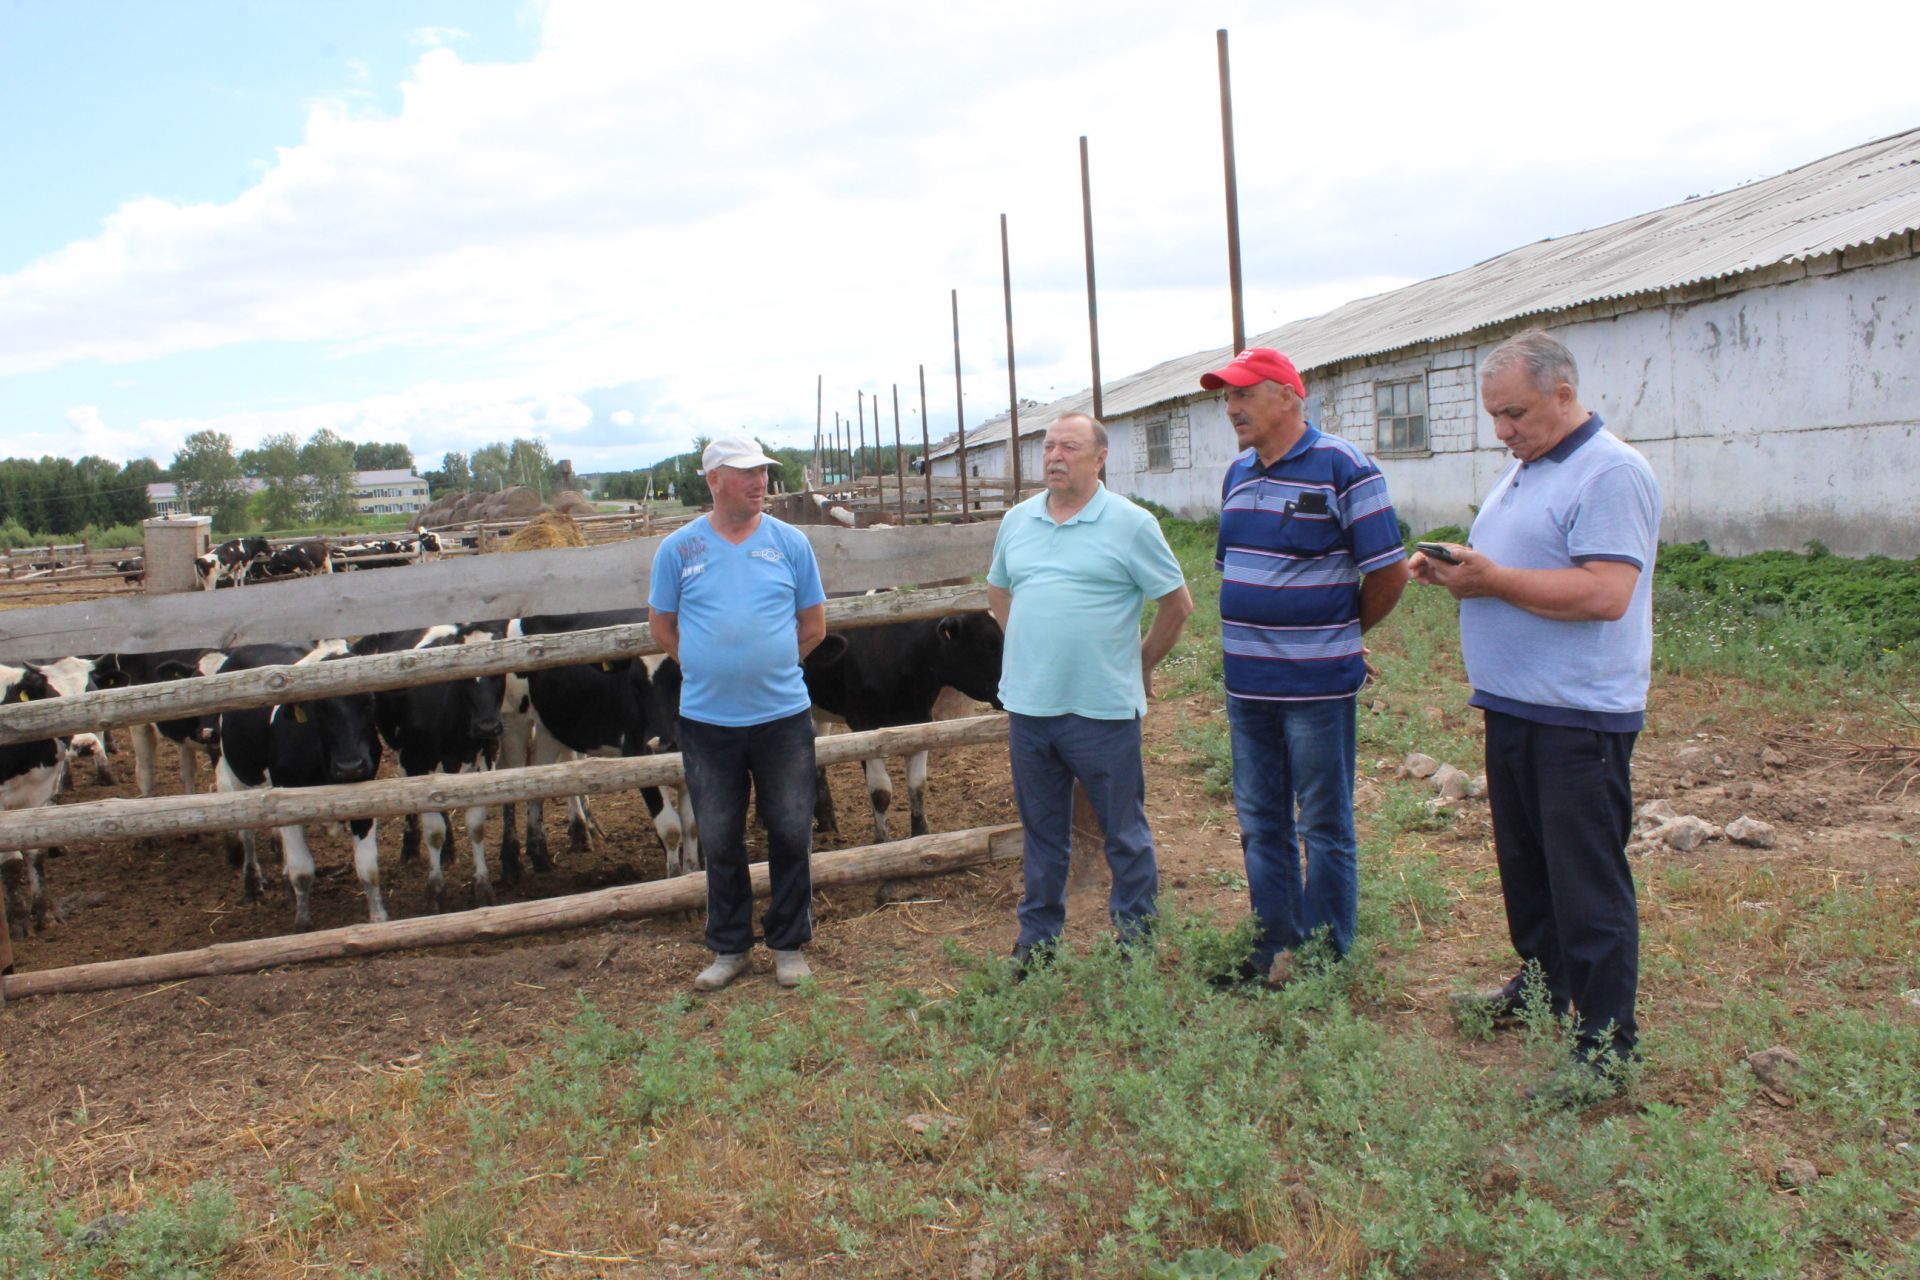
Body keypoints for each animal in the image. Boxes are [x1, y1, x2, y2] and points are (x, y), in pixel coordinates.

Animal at [213, 640, 382, 932]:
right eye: (319, 708)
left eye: (369, 701)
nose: (351, 766)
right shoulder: (288, 796)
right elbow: (302, 872)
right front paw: (303, 923)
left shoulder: (365, 795)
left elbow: (368, 868)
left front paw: (379, 918)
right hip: (235, 776)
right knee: (247, 835)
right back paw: (252, 886)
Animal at [353, 621, 503, 909]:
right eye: (464, 677)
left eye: (499, 674)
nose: (488, 726)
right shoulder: (417, 760)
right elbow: (434, 832)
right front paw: (435, 889)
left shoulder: (485, 761)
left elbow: (476, 827)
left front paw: (482, 884)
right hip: (404, 755)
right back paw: (410, 846)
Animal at [802, 614, 1006, 844]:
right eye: (988, 644)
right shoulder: (863, 725)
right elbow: (881, 792)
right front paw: (881, 840)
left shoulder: (920, 720)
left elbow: (917, 785)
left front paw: (921, 834)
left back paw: (827, 824)